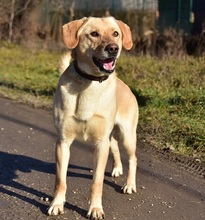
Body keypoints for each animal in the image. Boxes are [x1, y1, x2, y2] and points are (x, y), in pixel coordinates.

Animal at [47, 16, 139, 219]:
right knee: (115, 148)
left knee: (133, 159)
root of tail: (127, 87)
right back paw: (117, 168)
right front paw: (57, 204)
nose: (113, 48)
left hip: (127, 136)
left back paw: (129, 185)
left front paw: (96, 209)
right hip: (112, 137)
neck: (90, 82)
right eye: (94, 34)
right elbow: (61, 180)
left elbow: (97, 182)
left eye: (115, 33)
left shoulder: (100, 144)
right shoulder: (63, 142)